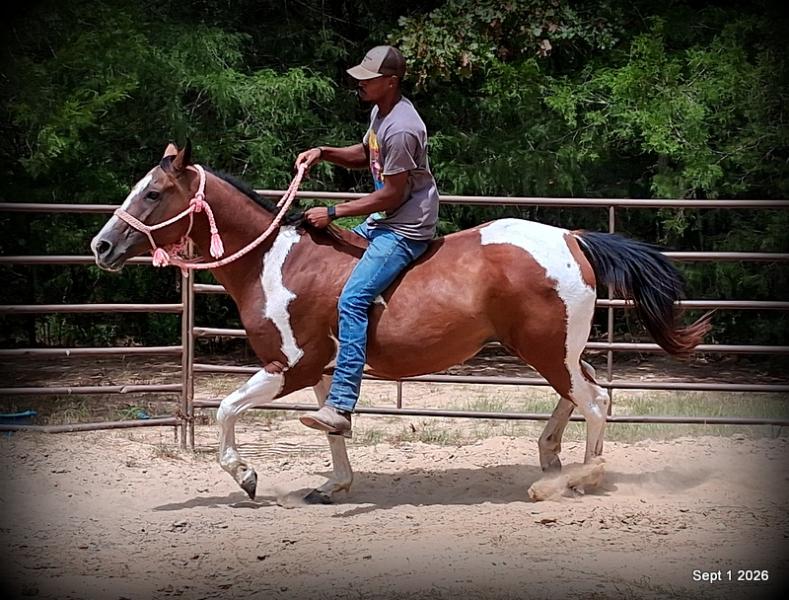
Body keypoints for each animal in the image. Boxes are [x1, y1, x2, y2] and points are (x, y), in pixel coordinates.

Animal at [91, 142, 710, 503]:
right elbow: (332, 424)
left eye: (153, 192)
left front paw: (245, 476)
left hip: (544, 348)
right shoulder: (324, 369)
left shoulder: (289, 365)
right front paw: (333, 485)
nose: (102, 245)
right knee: (586, 391)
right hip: (553, 348)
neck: (275, 262)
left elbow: (224, 408)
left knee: (596, 400)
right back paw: (558, 461)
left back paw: (573, 479)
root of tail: (572, 238)